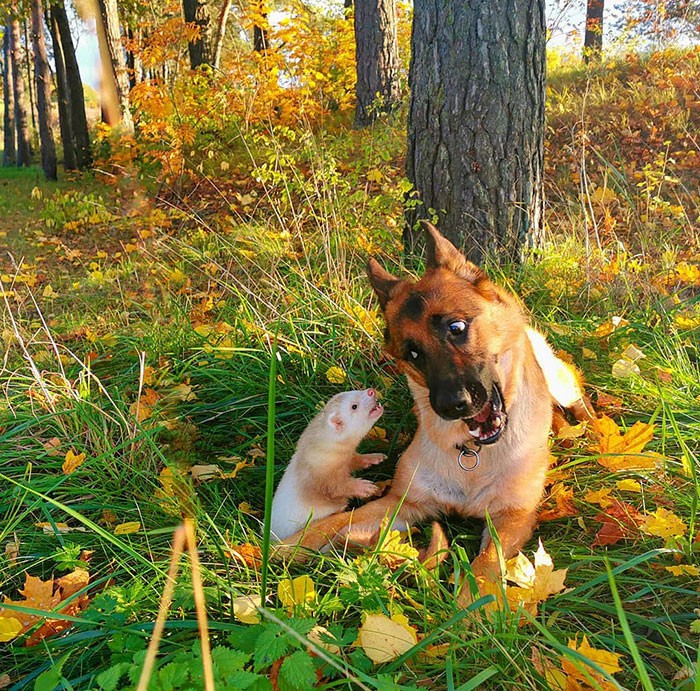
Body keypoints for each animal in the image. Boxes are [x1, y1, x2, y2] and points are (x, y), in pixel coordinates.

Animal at [282, 224, 588, 596]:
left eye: (456, 328)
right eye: (413, 354)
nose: (452, 406)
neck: (472, 455)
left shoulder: (510, 519)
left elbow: (484, 568)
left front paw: (470, 606)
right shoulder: (405, 503)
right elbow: (335, 522)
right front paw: (276, 547)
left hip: (559, 381)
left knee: (578, 396)